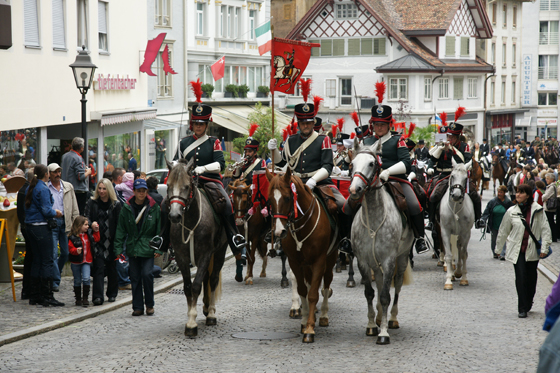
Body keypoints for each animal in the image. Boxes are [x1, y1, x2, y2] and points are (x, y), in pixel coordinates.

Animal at [166, 158, 228, 338]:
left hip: (220, 251)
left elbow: (196, 285)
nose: (174, 216)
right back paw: (206, 307)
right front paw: (190, 317)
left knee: (213, 279)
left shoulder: (205, 254)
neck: (190, 222)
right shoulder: (181, 257)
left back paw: (211, 313)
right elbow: (188, 287)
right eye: (169, 186)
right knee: (207, 278)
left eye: (186, 186)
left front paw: (192, 322)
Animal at [266, 167, 340, 342]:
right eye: (270, 200)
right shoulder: (295, 261)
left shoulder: (319, 261)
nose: (279, 232)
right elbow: (302, 290)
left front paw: (310, 329)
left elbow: (313, 294)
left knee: (326, 283)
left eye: (287, 198)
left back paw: (324, 315)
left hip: (330, 258)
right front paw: (304, 320)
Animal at [350, 140, 416, 342]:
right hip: (375, 262)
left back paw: (392, 319)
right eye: (352, 163)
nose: (354, 190)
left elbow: (386, 295)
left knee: (398, 285)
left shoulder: (389, 260)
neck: (373, 218)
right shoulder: (363, 261)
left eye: (372, 163)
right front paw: (372, 325)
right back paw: (380, 317)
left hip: (402, 258)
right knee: (379, 285)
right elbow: (370, 293)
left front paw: (384, 333)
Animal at [440, 158, 474, 290]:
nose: (456, 195)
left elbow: (463, 254)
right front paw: (448, 280)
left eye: (465, 178)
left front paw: (463, 278)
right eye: (453, 176)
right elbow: (449, 255)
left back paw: (459, 272)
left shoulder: (465, 233)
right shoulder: (445, 231)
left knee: (460, 248)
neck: (455, 208)